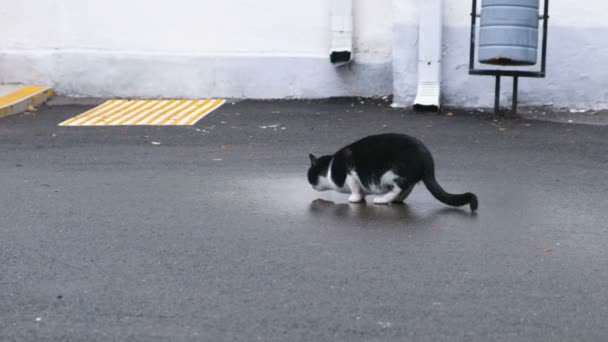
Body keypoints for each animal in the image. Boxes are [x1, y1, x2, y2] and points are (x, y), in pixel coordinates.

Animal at [306, 133, 478, 211]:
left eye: (310, 176)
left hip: (390, 173)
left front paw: (355, 198)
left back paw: (383, 199)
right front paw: (361, 197)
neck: (330, 168)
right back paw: (396, 200)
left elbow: (354, 189)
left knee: (399, 188)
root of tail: (428, 161)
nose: (310, 185)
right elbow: (361, 191)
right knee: (407, 189)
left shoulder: (350, 175)